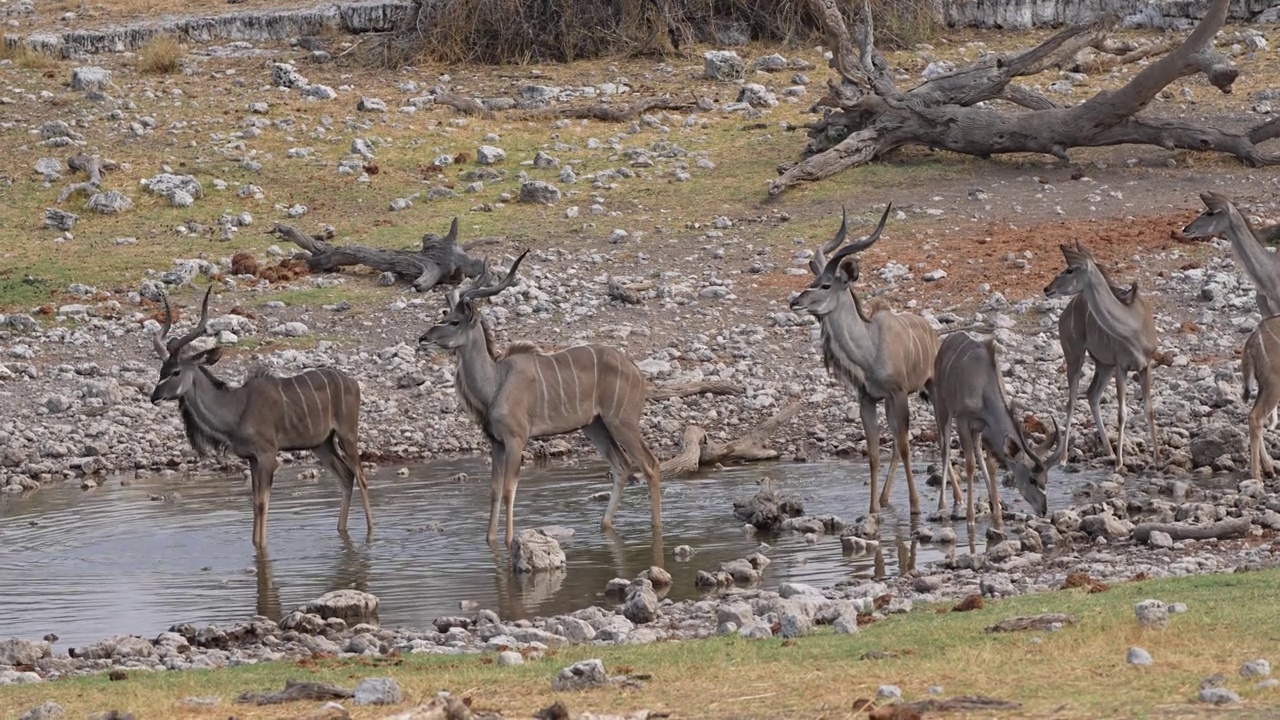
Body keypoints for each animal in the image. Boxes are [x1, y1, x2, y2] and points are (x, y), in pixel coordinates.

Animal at [149, 285, 373, 543]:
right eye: (161, 370)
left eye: (175, 371)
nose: (154, 397)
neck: (236, 409)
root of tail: (353, 383)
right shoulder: (252, 459)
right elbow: (255, 504)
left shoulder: (267, 456)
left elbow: (262, 504)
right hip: (322, 444)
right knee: (346, 477)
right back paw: (341, 530)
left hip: (347, 434)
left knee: (361, 476)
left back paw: (370, 532)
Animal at [417, 249, 660, 545]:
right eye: (444, 315)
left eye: (454, 321)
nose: (423, 338)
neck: (495, 382)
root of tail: (636, 371)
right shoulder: (495, 443)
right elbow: (494, 490)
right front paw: (490, 540)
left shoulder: (515, 440)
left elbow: (509, 489)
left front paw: (509, 541)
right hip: (595, 426)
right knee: (622, 466)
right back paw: (604, 525)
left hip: (622, 422)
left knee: (650, 465)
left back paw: (655, 527)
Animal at [788, 203, 942, 515]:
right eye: (813, 280)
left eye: (825, 285)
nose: (794, 302)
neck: (869, 348)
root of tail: (932, 333)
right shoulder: (868, 400)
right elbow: (874, 453)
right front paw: (873, 511)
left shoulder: (898, 394)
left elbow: (905, 448)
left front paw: (915, 507)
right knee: (896, 443)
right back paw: (884, 499)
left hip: (931, 389)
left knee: (941, 439)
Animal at [926, 330, 1064, 520]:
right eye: (1032, 479)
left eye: (1046, 479)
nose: (1043, 511)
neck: (983, 383)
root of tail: (947, 341)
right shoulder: (962, 419)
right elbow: (970, 464)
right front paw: (970, 516)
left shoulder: (985, 425)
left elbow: (991, 464)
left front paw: (997, 509)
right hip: (942, 407)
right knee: (945, 450)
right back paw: (943, 506)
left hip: (975, 428)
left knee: (976, 449)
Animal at [1044, 238, 1167, 468]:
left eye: (1069, 269)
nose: (1047, 288)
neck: (1132, 327)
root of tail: (1065, 313)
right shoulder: (1121, 366)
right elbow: (1122, 413)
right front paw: (1119, 463)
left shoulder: (1145, 365)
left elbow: (1149, 408)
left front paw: (1157, 458)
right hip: (1075, 355)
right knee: (1071, 401)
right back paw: (1064, 458)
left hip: (1103, 365)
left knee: (1092, 394)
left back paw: (1108, 450)